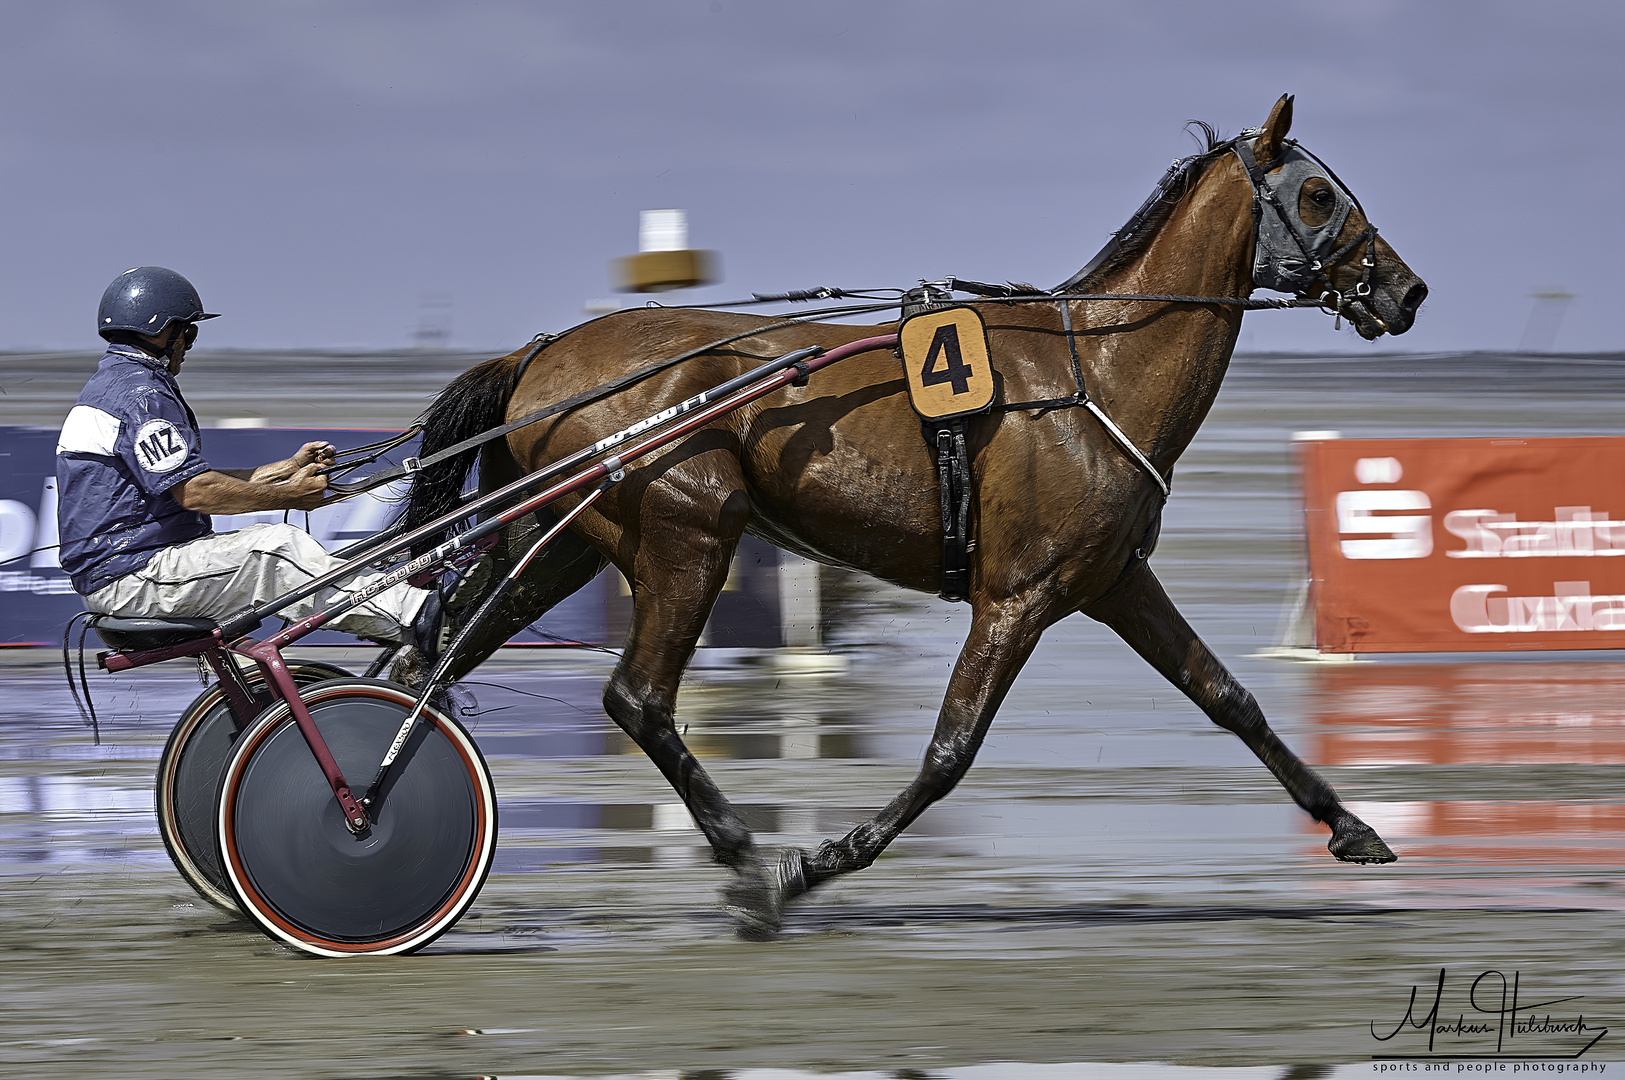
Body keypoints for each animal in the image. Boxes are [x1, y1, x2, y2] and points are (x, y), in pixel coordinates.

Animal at [403, 97, 1423, 928]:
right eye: (1317, 194)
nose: (1405, 288)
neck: (1095, 374)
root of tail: (540, 354)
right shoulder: (1018, 595)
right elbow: (949, 752)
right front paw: (815, 863)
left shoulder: (1113, 581)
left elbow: (1228, 698)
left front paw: (1351, 826)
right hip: (692, 530)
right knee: (636, 698)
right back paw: (744, 862)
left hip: (564, 540)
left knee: (440, 648)